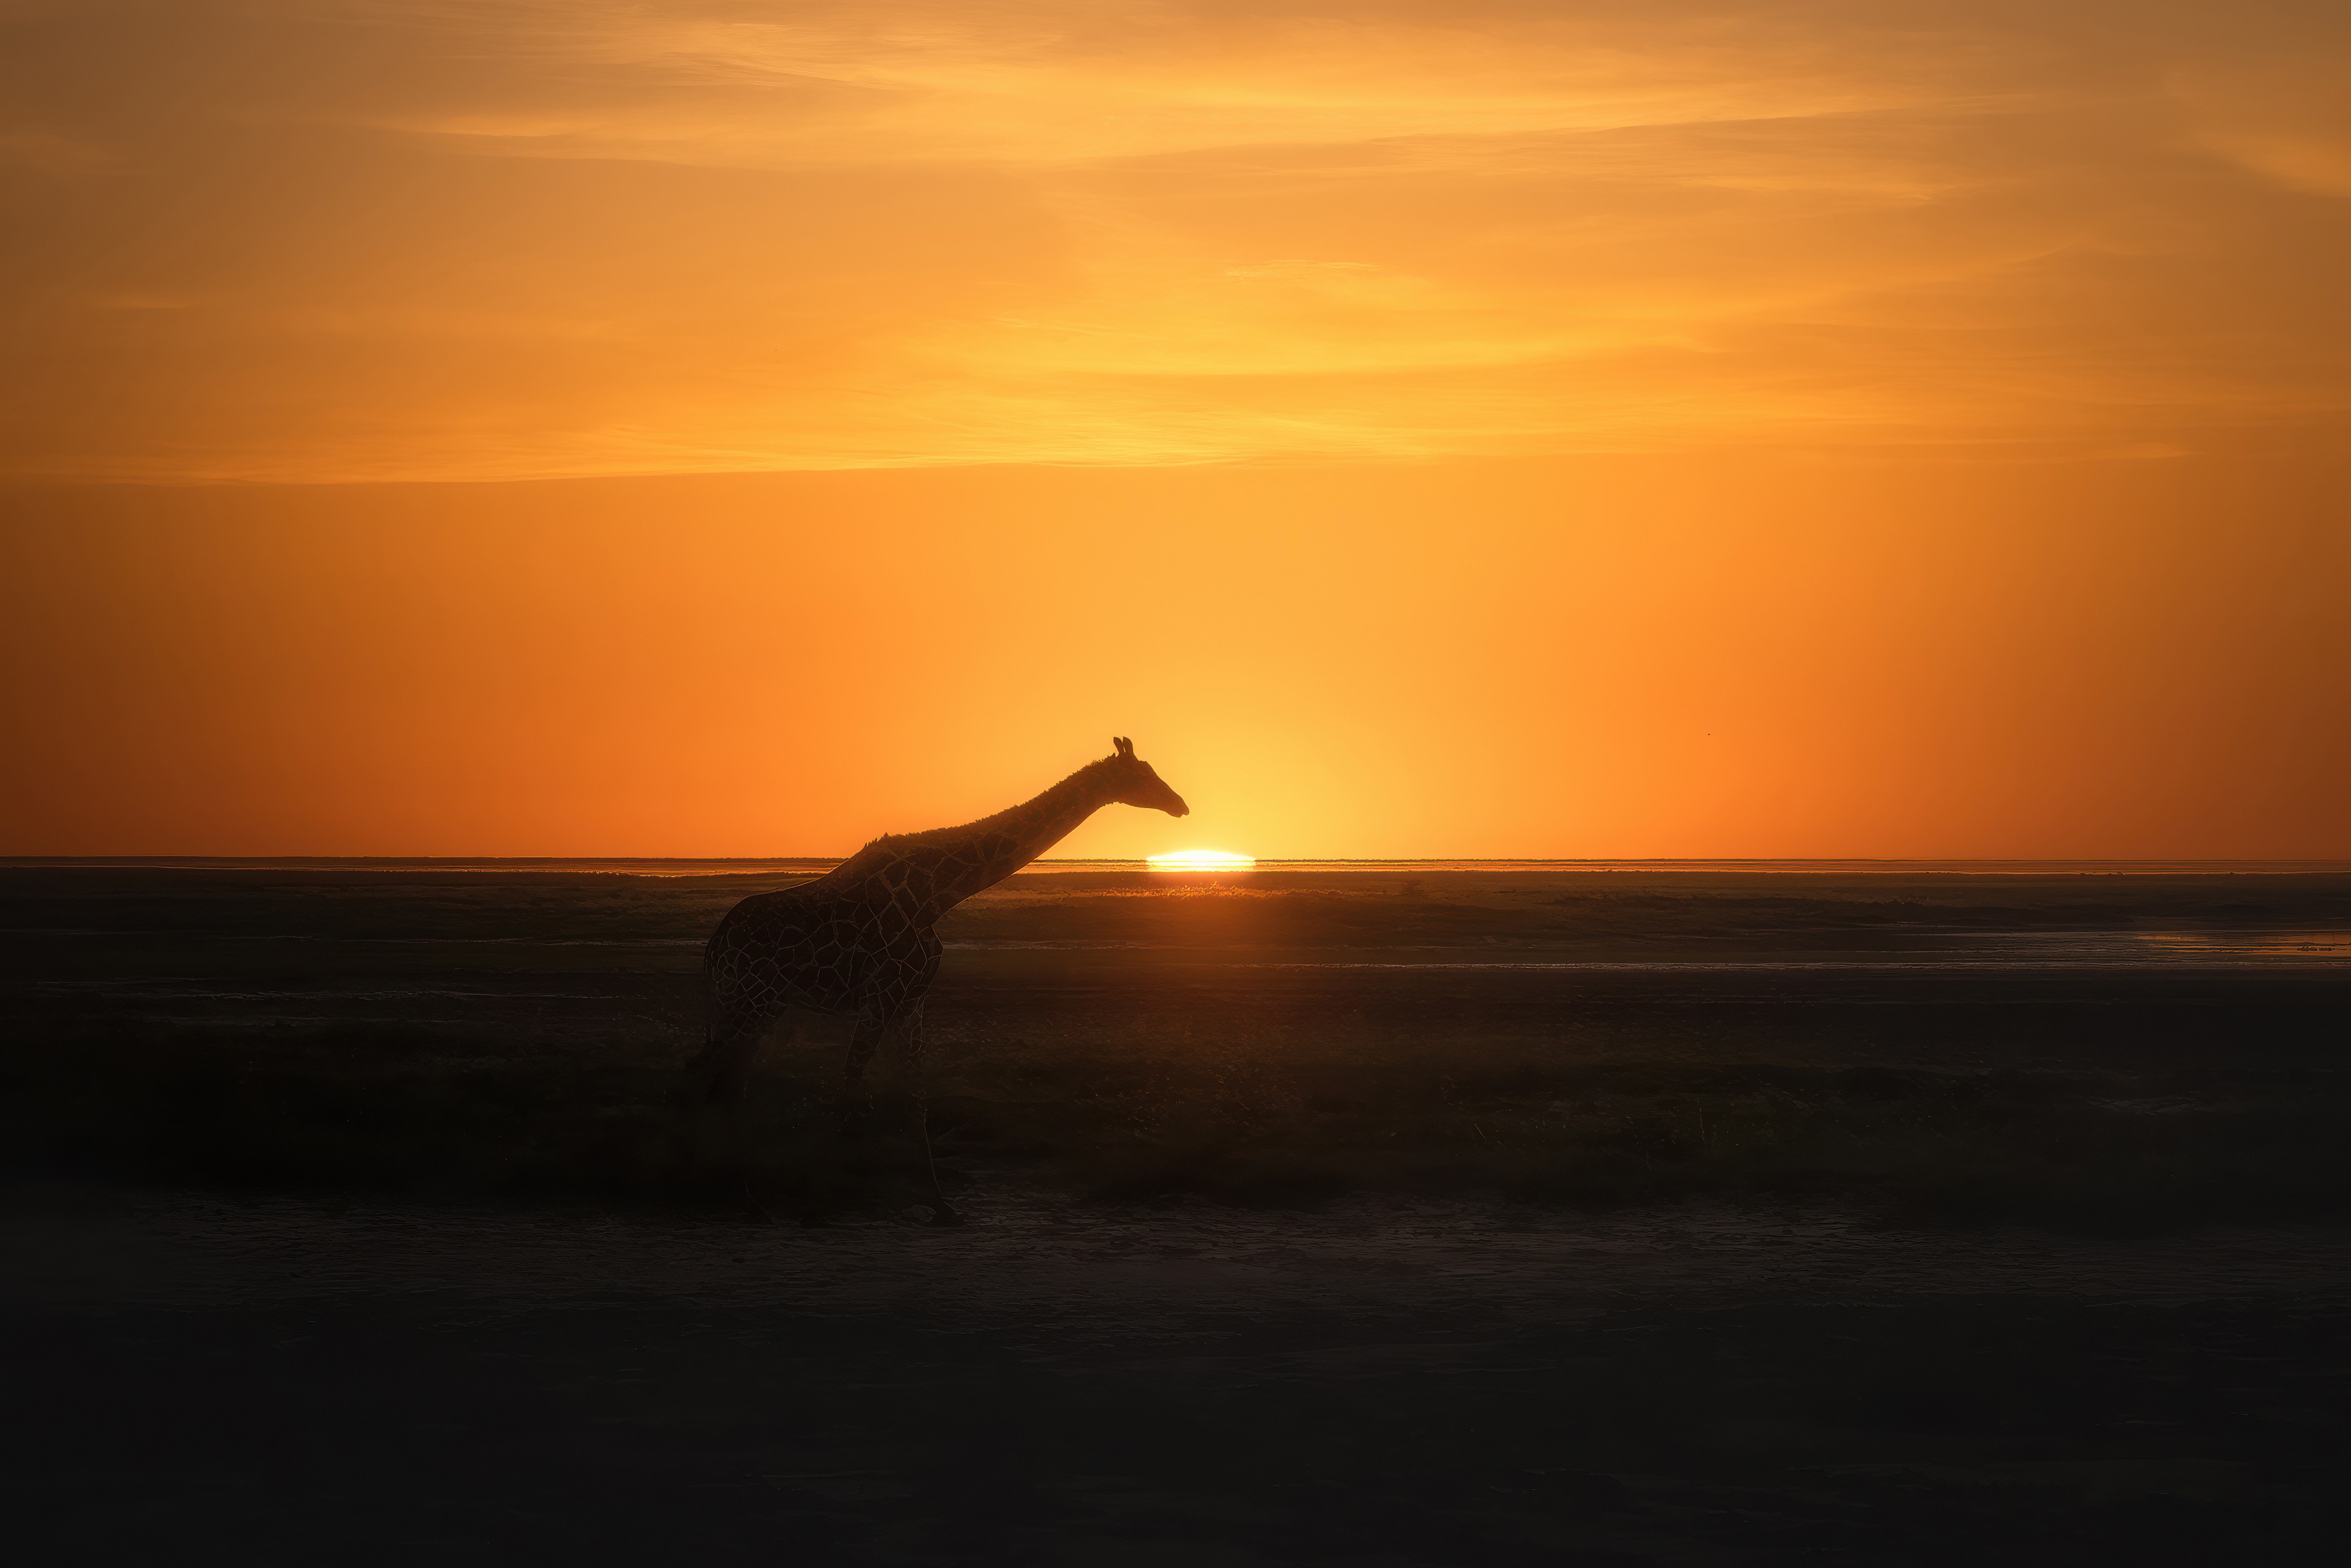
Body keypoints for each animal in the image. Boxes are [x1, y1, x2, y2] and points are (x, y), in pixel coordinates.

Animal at [689, 737, 1189, 1222]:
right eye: (1143, 774)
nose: (1181, 805)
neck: (938, 892)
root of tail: (714, 950)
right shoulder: (881, 994)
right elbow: (850, 1086)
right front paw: (824, 1196)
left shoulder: (912, 999)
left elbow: (915, 1097)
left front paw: (940, 1203)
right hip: (752, 1002)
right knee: (719, 1077)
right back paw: (737, 1194)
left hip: (758, 1005)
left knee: (718, 1075)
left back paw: (726, 1189)